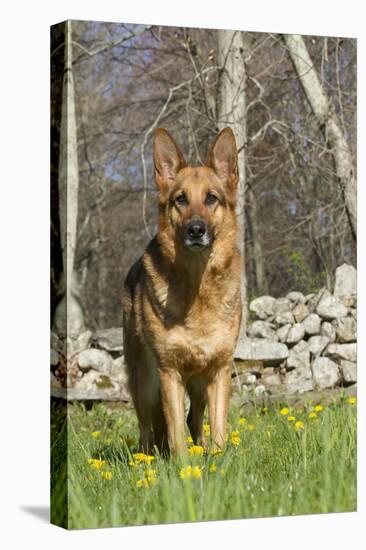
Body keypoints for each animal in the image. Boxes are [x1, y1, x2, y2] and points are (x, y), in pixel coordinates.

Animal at [123, 128, 242, 458]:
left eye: (211, 198)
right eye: (181, 200)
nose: (196, 230)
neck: (197, 286)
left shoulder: (219, 371)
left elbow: (217, 428)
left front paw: (216, 461)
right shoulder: (169, 373)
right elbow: (175, 431)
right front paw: (181, 465)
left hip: (199, 384)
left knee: (194, 418)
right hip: (146, 384)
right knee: (147, 426)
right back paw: (147, 459)